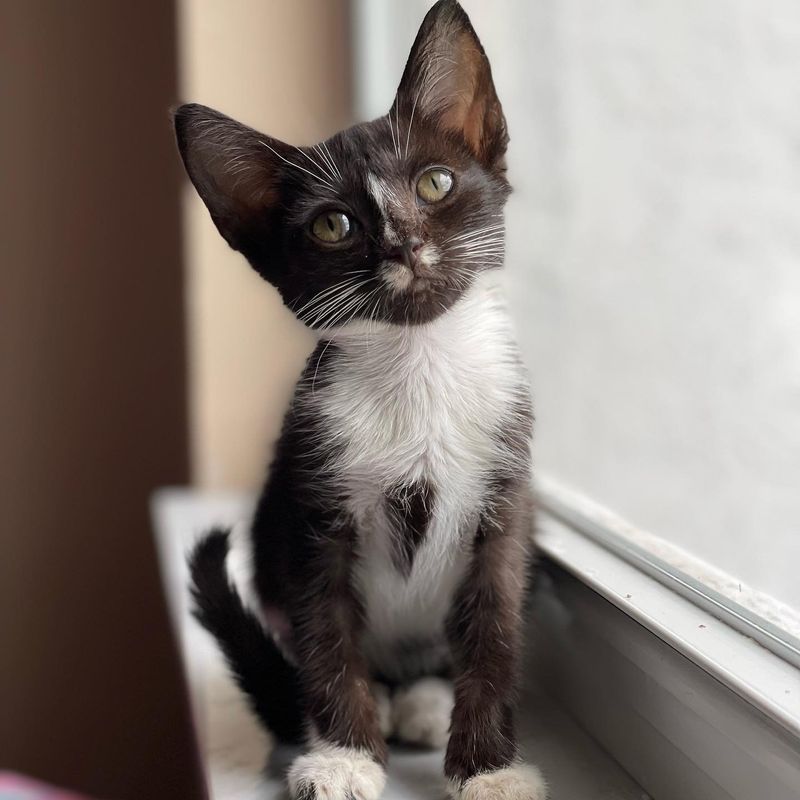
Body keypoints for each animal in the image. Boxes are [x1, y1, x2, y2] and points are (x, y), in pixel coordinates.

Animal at [178, 1, 548, 800]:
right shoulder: (314, 506)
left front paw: (490, 770)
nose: (403, 244)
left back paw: (424, 700)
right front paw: (343, 756)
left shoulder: (506, 496)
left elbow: (496, 629)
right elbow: (327, 636)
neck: (420, 370)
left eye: (436, 183)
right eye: (332, 224)